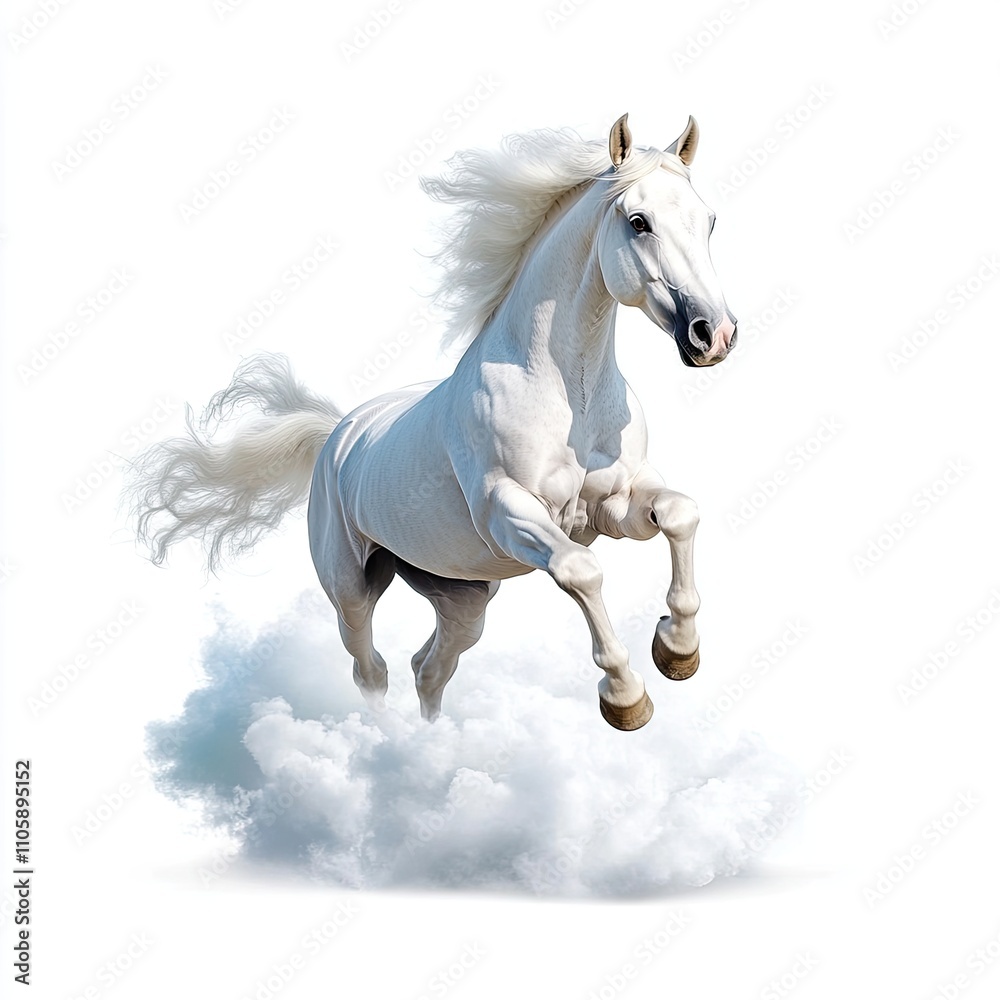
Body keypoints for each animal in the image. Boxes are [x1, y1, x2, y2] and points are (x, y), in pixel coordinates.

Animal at [127, 114, 737, 731]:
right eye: (639, 222)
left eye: (708, 221)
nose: (713, 335)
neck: (571, 398)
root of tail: (337, 435)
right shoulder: (510, 512)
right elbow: (580, 570)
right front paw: (625, 697)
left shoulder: (616, 501)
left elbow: (680, 514)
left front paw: (677, 650)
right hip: (350, 587)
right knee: (370, 668)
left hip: (462, 595)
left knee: (430, 669)